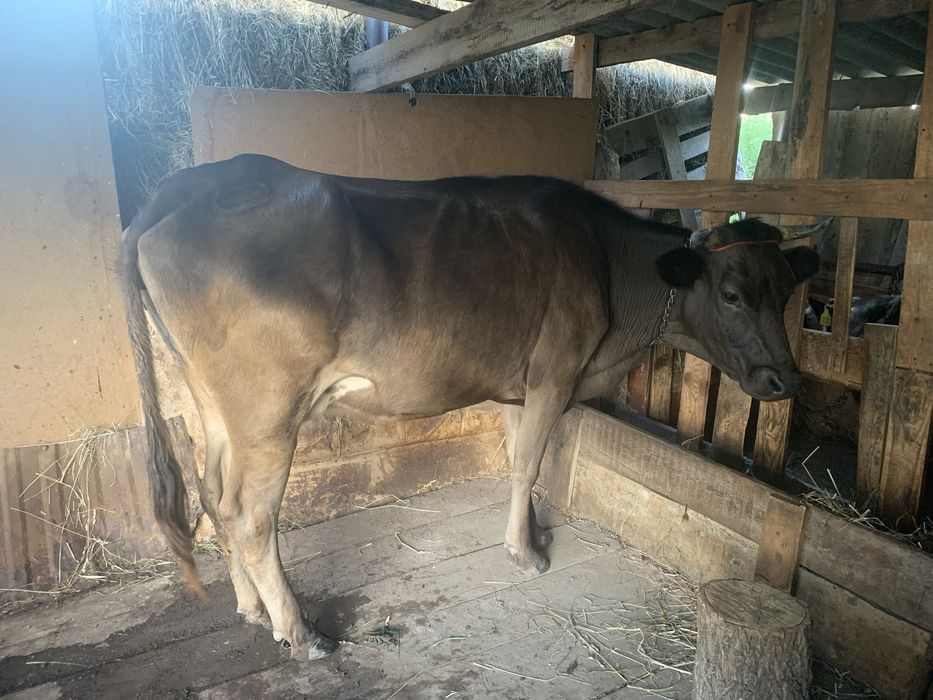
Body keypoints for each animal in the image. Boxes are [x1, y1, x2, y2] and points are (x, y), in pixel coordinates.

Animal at [120, 153, 823, 660]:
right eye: (731, 294)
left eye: (789, 288)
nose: (783, 379)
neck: (611, 269)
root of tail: (175, 189)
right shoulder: (555, 371)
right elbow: (528, 464)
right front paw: (528, 554)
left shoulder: (519, 382)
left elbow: (516, 459)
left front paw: (526, 533)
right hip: (267, 412)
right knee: (251, 517)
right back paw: (302, 633)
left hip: (213, 404)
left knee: (213, 498)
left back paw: (251, 608)